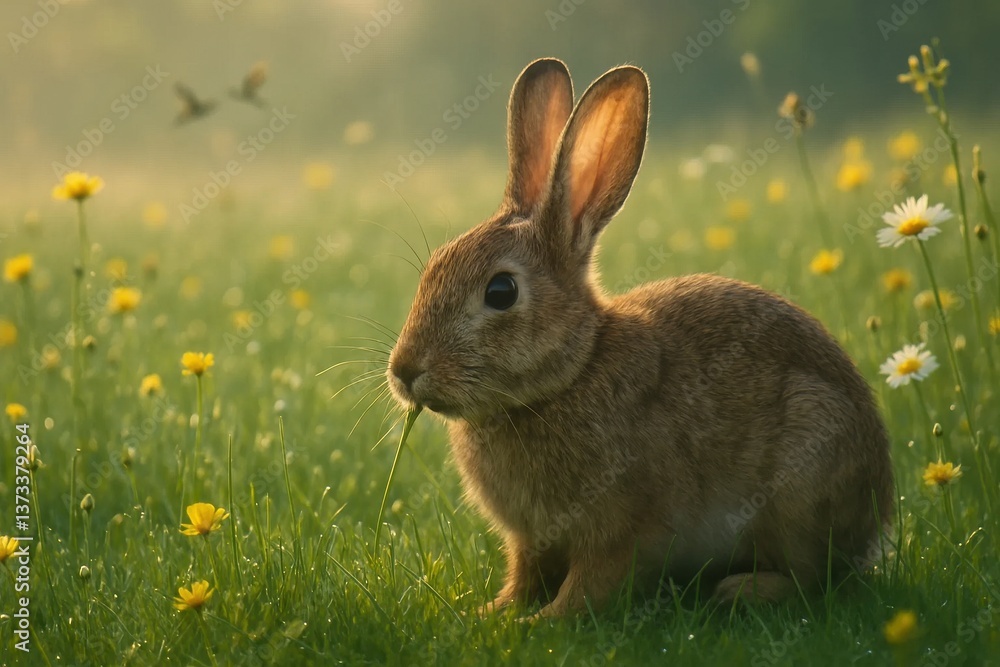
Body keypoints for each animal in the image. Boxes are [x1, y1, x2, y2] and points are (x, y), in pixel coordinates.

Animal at [386, 58, 895, 618]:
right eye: (432, 267)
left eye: (501, 291)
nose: (405, 371)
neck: (573, 372)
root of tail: (878, 512)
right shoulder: (529, 541)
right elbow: (524, 577)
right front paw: (492, 614)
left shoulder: (622, 529)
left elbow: (591, 585)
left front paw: (540, 623)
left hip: (804, 475)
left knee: (816, 578)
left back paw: (742, 590)